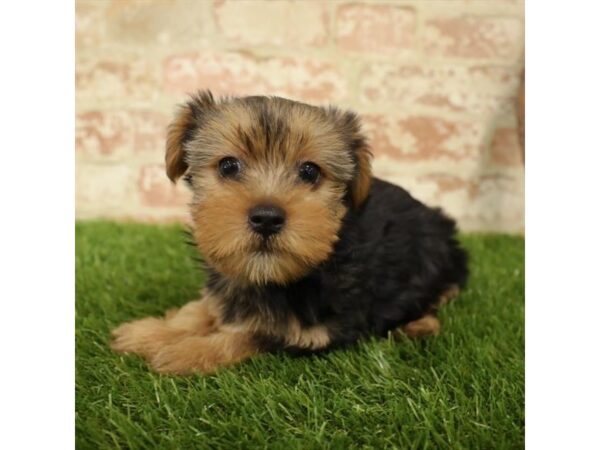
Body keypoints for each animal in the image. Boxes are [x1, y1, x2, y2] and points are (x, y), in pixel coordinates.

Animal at [111, 89, 468, 374]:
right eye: (228, 166)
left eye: (310, 171)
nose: (267, 218)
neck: (270, 276)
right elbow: (201, 308)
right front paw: (150, 333)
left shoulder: (314, 332)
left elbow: (248, 335)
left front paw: (186, 352)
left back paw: (419, 324)